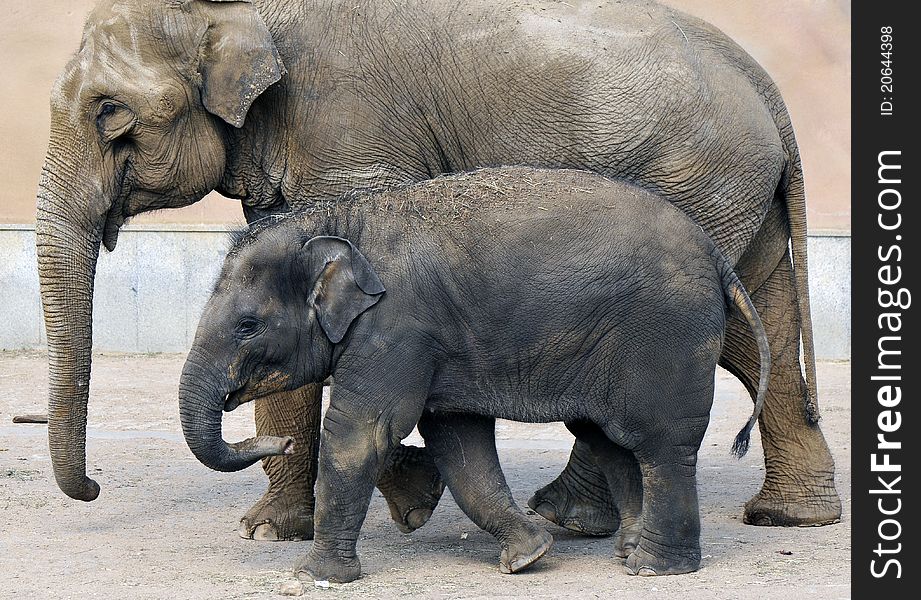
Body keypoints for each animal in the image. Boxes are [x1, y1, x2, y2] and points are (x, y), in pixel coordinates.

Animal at [180, 168, 768, 580]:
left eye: (248, 325)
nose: (279, 442)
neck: (339, 221)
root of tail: (717, 255)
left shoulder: (397, 328)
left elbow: (359, 433)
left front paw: (314, 577)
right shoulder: (434, 342)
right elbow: (458, 441)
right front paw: (528, 555)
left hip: (667, 336)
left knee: (660, 445)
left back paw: (653, 568)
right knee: (611, 440)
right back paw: (628, 553)